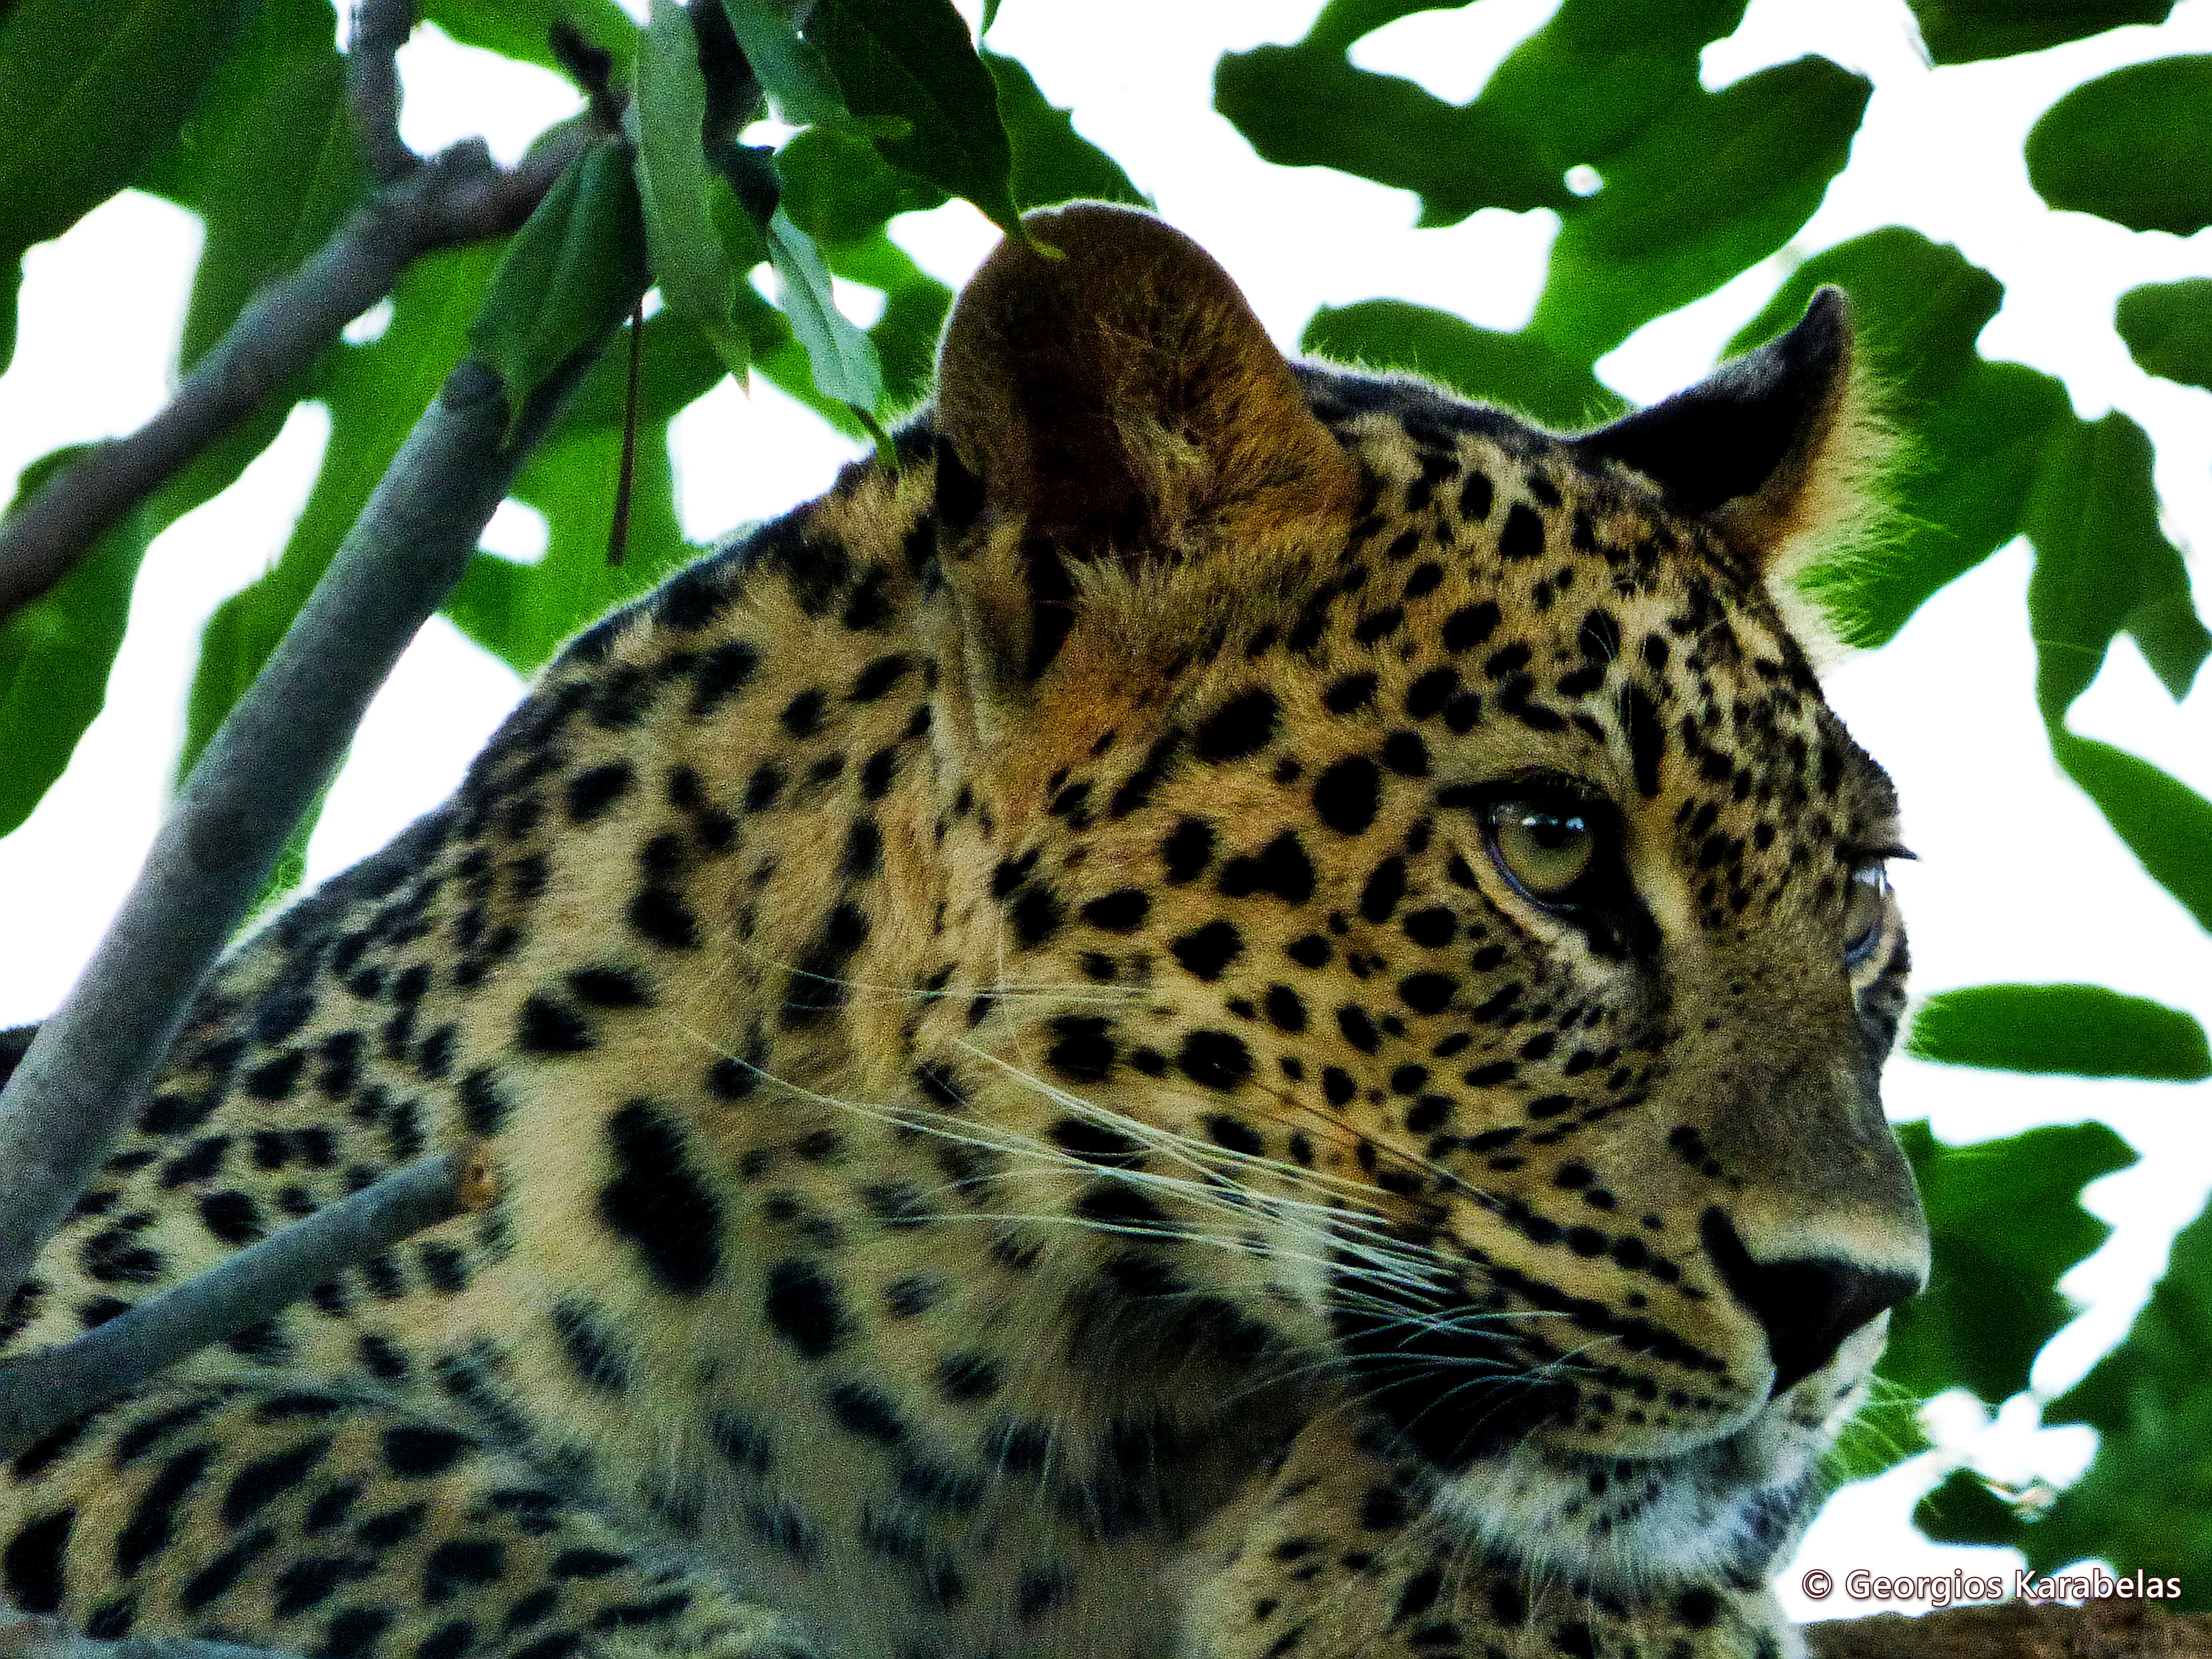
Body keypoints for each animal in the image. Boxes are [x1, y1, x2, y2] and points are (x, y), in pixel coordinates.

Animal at [1, 202, 1928, 1659]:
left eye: (1855, 908)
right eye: (1549, 845)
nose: (1851, 1299)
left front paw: (1482, 1611)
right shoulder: (89, 1309)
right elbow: (359, 1495)